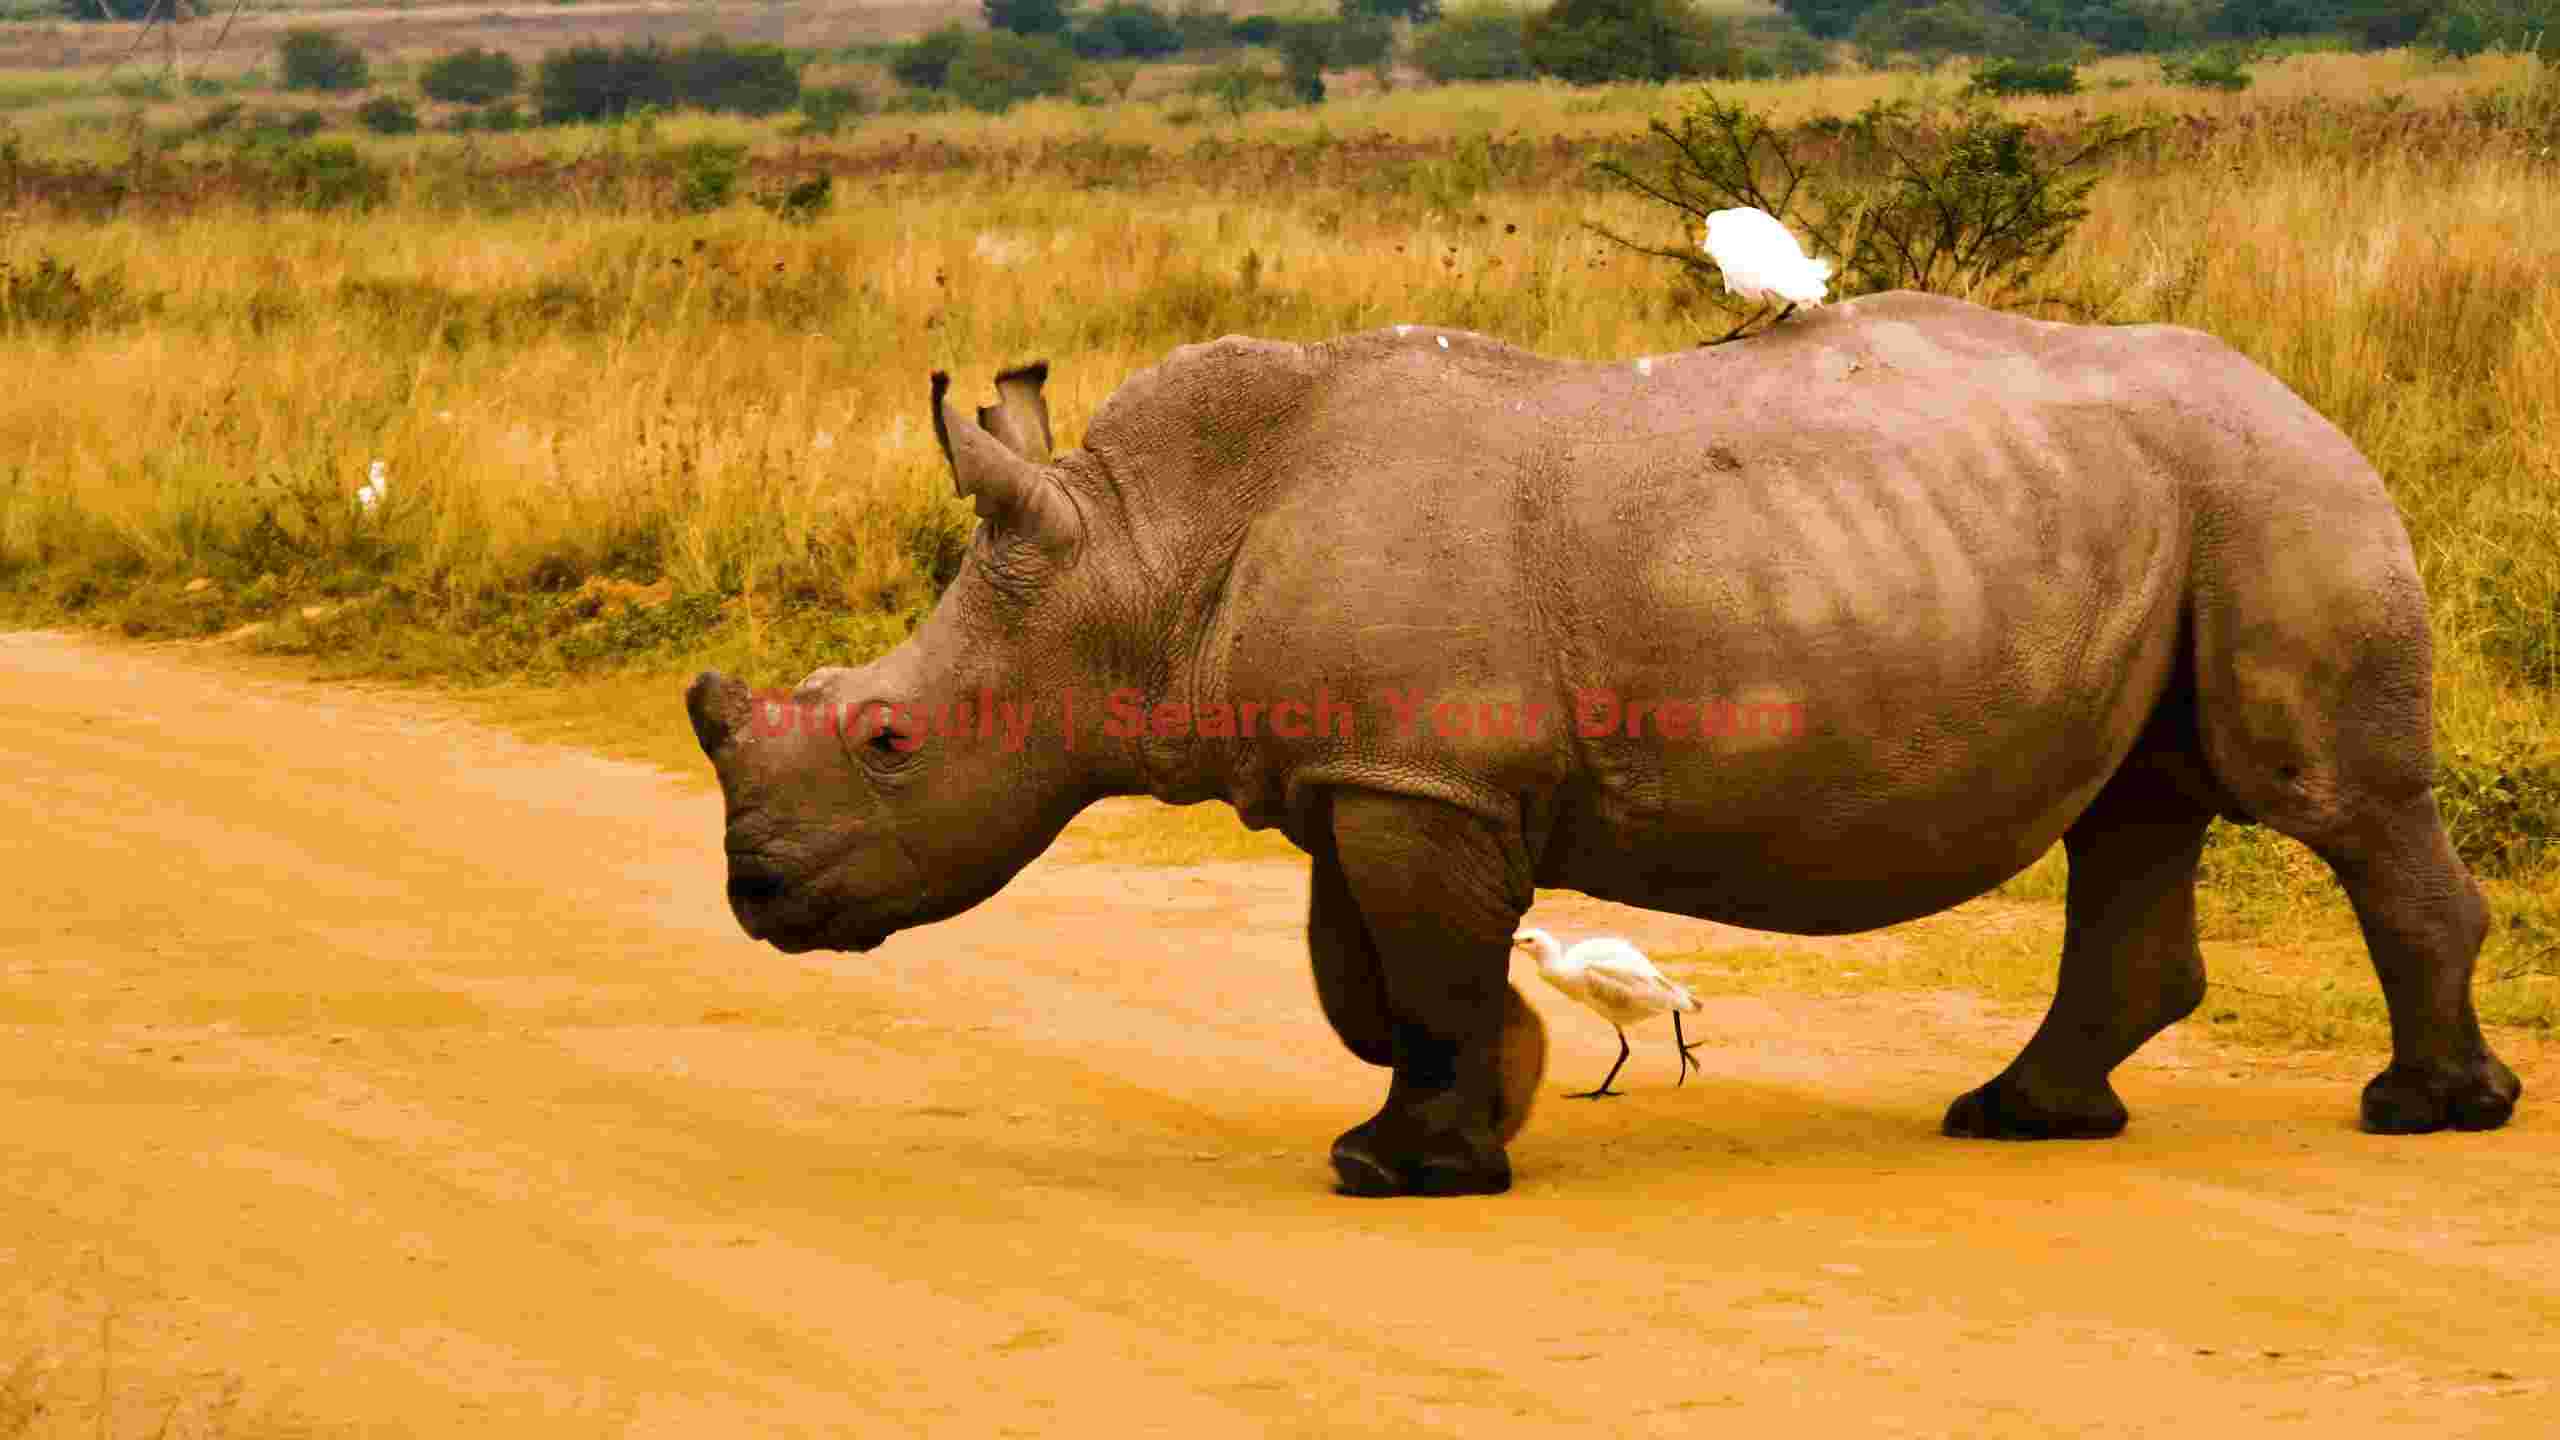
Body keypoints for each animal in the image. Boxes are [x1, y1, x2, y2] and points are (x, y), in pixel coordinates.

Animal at [686, 291, 2520, 1198]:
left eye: (890, 740)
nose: (753, 896)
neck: (1138, 554)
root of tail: (2308, 397)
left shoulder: (1419, 775)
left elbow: (1421, 968)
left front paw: (1419, 1171)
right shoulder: (1371, 769)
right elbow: (1370, 978)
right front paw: (1472, 1104)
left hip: (2280, 489)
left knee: (2326, 801)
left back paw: (2426, 1117)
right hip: (2173, 502)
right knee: (2135, 805)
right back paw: (2021, 1121)